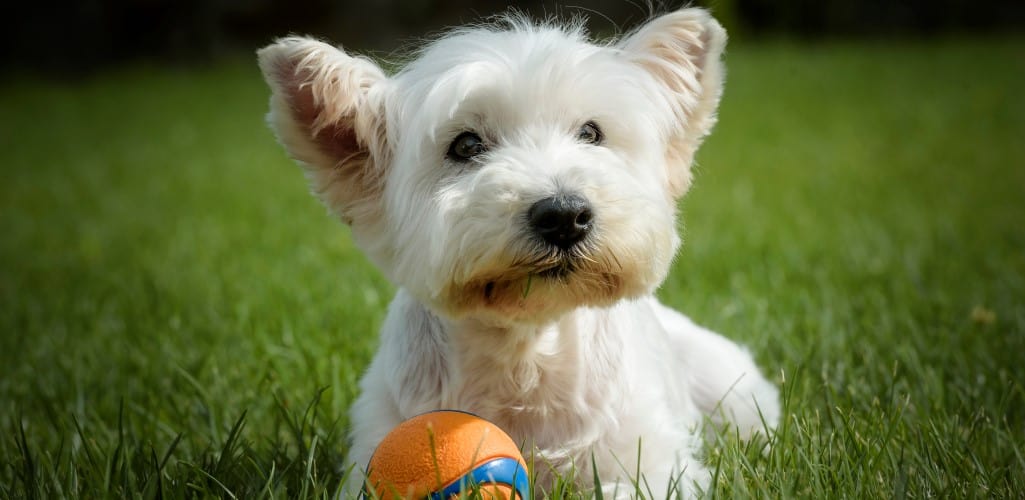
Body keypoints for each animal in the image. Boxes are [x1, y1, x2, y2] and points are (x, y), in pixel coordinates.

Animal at [256, 5, 774, 497]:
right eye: (466, 145)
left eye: (591, 133)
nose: (564, 215)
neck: (524, 355)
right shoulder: (374, 441)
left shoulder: (653, 461)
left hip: (730, 386)